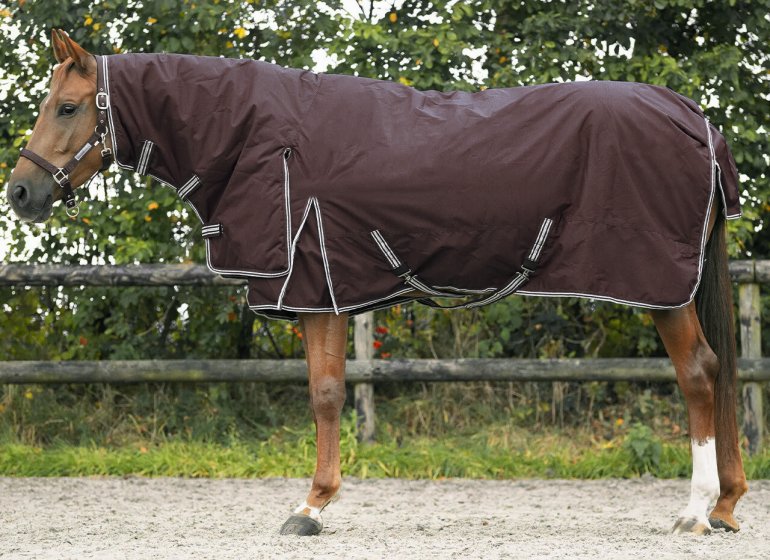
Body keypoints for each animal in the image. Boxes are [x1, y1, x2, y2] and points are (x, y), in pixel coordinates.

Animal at [6, 29, 748, 537]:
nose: (21, 193)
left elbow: (328, 395)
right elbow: (325, 392)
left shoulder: (320, 289)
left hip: (660, 289)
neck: (261, 136)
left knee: (699, 374)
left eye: (67, 107)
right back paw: (728, 503)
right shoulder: (326, 292)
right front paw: (315, 504)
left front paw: (309, 506)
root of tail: (698, 120)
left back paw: (694, 511)